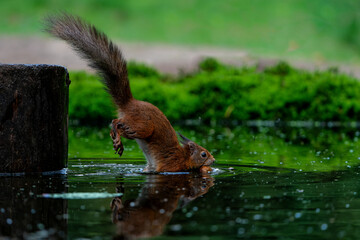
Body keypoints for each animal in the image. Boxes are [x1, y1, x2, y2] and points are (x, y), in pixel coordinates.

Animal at [44, 14, 214, 172]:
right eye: (203, 154)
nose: (213, 160)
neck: (183, 156)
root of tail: (130, 103)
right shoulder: (170, 166)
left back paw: (115, 139)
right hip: (142, 127)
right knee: (116, 122)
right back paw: (117, 138)